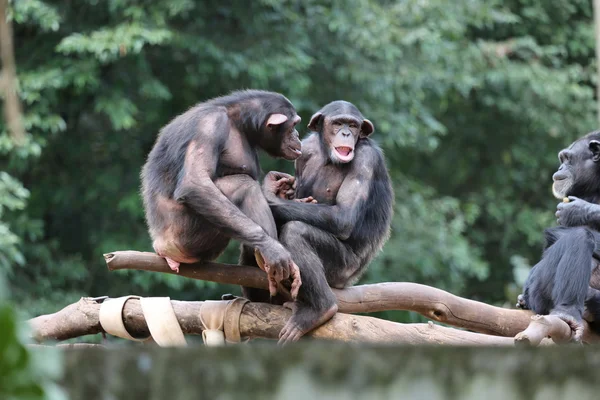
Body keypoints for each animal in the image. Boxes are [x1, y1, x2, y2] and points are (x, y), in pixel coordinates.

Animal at [139, 90, 300, 304]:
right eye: (293, 125)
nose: (297, 135)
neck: (238, 121)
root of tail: (161, 247)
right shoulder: (209, 126)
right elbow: (195, 182)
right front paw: (272, 248)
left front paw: (278, 187)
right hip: (186, 237)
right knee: (244, 185)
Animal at [262, 101, 394, 344]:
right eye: (338, 123)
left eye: (353, 125)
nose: (346, 133)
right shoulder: (304, 151)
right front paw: (283, 191)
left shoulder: (366, 159)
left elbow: (343, 217)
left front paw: (268, 191)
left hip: (342, 269)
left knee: (296, 231)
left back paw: (321, 309)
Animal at [516, 131, 600, 340]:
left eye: (568, 159)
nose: (560, 167)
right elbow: (556, 233)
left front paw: (578, 210)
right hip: (540, 293)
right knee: (580, 237)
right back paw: (567, 312)